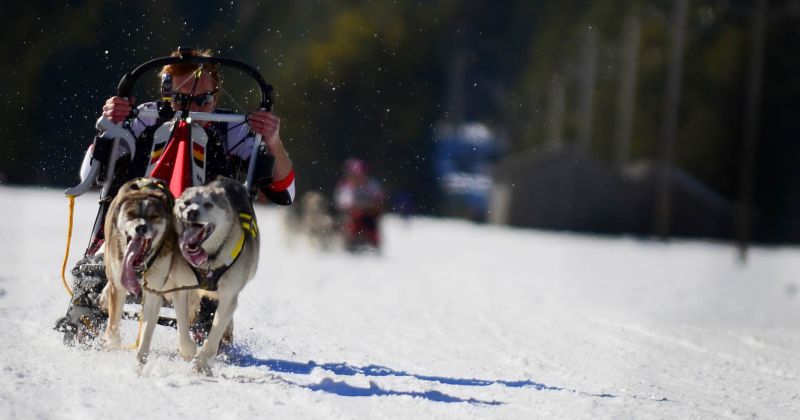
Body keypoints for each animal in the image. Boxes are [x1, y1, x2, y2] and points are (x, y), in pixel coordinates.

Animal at [101, 178, 183, 364]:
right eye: (131, 214)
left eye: (154, 216)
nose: (141, 228)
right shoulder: (119, 284)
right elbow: (113, 325)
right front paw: (111, 341)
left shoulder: (154, 290)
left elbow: (146, 333)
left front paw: (139, 362)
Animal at [171, 176, 260, 373]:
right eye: (186, 202)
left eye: (208, 204)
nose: (191, 212)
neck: (210, 259)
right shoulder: (181, 288)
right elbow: (182, 324)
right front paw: (187, 351)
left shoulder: (228, 297)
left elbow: (214, 334)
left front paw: (202, 362)